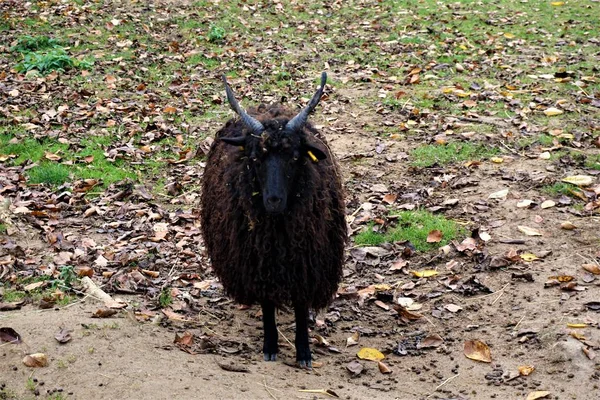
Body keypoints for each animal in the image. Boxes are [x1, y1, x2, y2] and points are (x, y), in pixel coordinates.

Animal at [200, 73, 346, 368]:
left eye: (295, 157)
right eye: (256, 157)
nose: (274, 200)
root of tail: (269, 108)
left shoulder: (305, 263)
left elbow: (301, 306)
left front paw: (304, 352)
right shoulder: (259, 262)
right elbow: (267, 304)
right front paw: (270, 346)